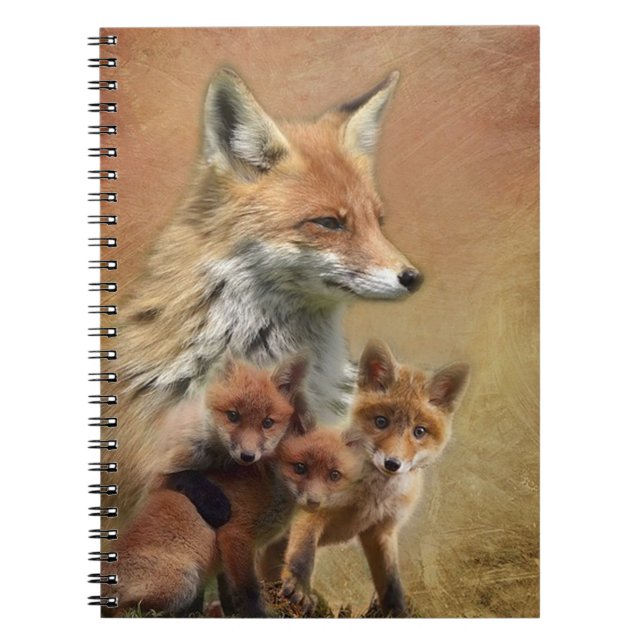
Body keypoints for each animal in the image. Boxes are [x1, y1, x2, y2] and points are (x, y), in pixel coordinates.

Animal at [109, 426, 364, 617]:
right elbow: (247, 590)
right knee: (127, 612)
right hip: (184, 583)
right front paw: (257, 616)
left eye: (334, 475)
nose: (314, 501)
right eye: (299, 468)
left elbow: (230, 592)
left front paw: (233, 612)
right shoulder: (235, 535)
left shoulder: (228, 553)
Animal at [280, 339, 470, 617]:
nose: (392, 463)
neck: (371, 497)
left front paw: (398, 611)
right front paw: (299, 587)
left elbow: (391, 581)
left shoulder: (382, 531)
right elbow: (303, 554)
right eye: (381, 421)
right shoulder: (312, 507)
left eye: (419, 431)